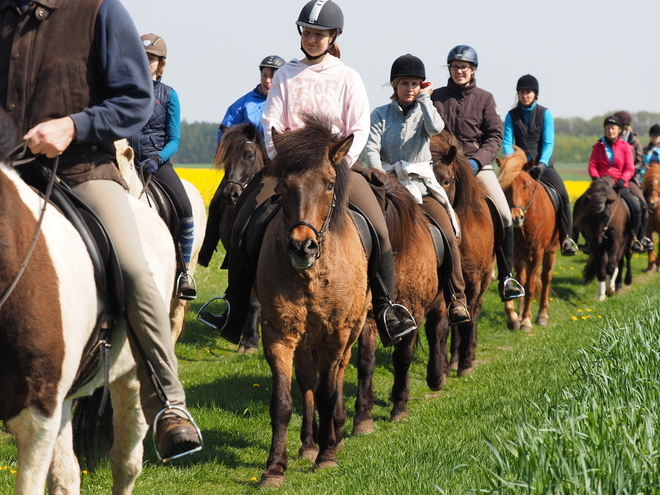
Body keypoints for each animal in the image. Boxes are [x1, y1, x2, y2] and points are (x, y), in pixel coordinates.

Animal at [254, 113, 372, 488]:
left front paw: (328, 455)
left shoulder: (336, 335)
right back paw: (309, 442)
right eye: (283, 185)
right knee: (307, 381)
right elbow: (282, 401)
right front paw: (275, 467)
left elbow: (328, 392)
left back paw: (334, 433)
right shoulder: (278, 335)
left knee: (336, 376)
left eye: (330, 184)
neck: (310, 277)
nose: (302, 246)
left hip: (353, 330)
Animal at [430, 131, 492, 376]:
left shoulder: (473, 282)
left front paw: (465, 363)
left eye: (448, 180)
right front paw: (451, 362)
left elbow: (469, 319)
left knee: (475, 312)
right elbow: (452, 322)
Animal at [498, 148, 560, 334]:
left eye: (526, 184)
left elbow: (531, 287)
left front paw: (526, 320)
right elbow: (517, 285)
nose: (515, 217)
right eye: (505, 187)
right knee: (523, 280)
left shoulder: (537, 254)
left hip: (551, 251)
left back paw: (542, 315)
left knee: (546, 278)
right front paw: (515, 317)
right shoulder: (515, 254)